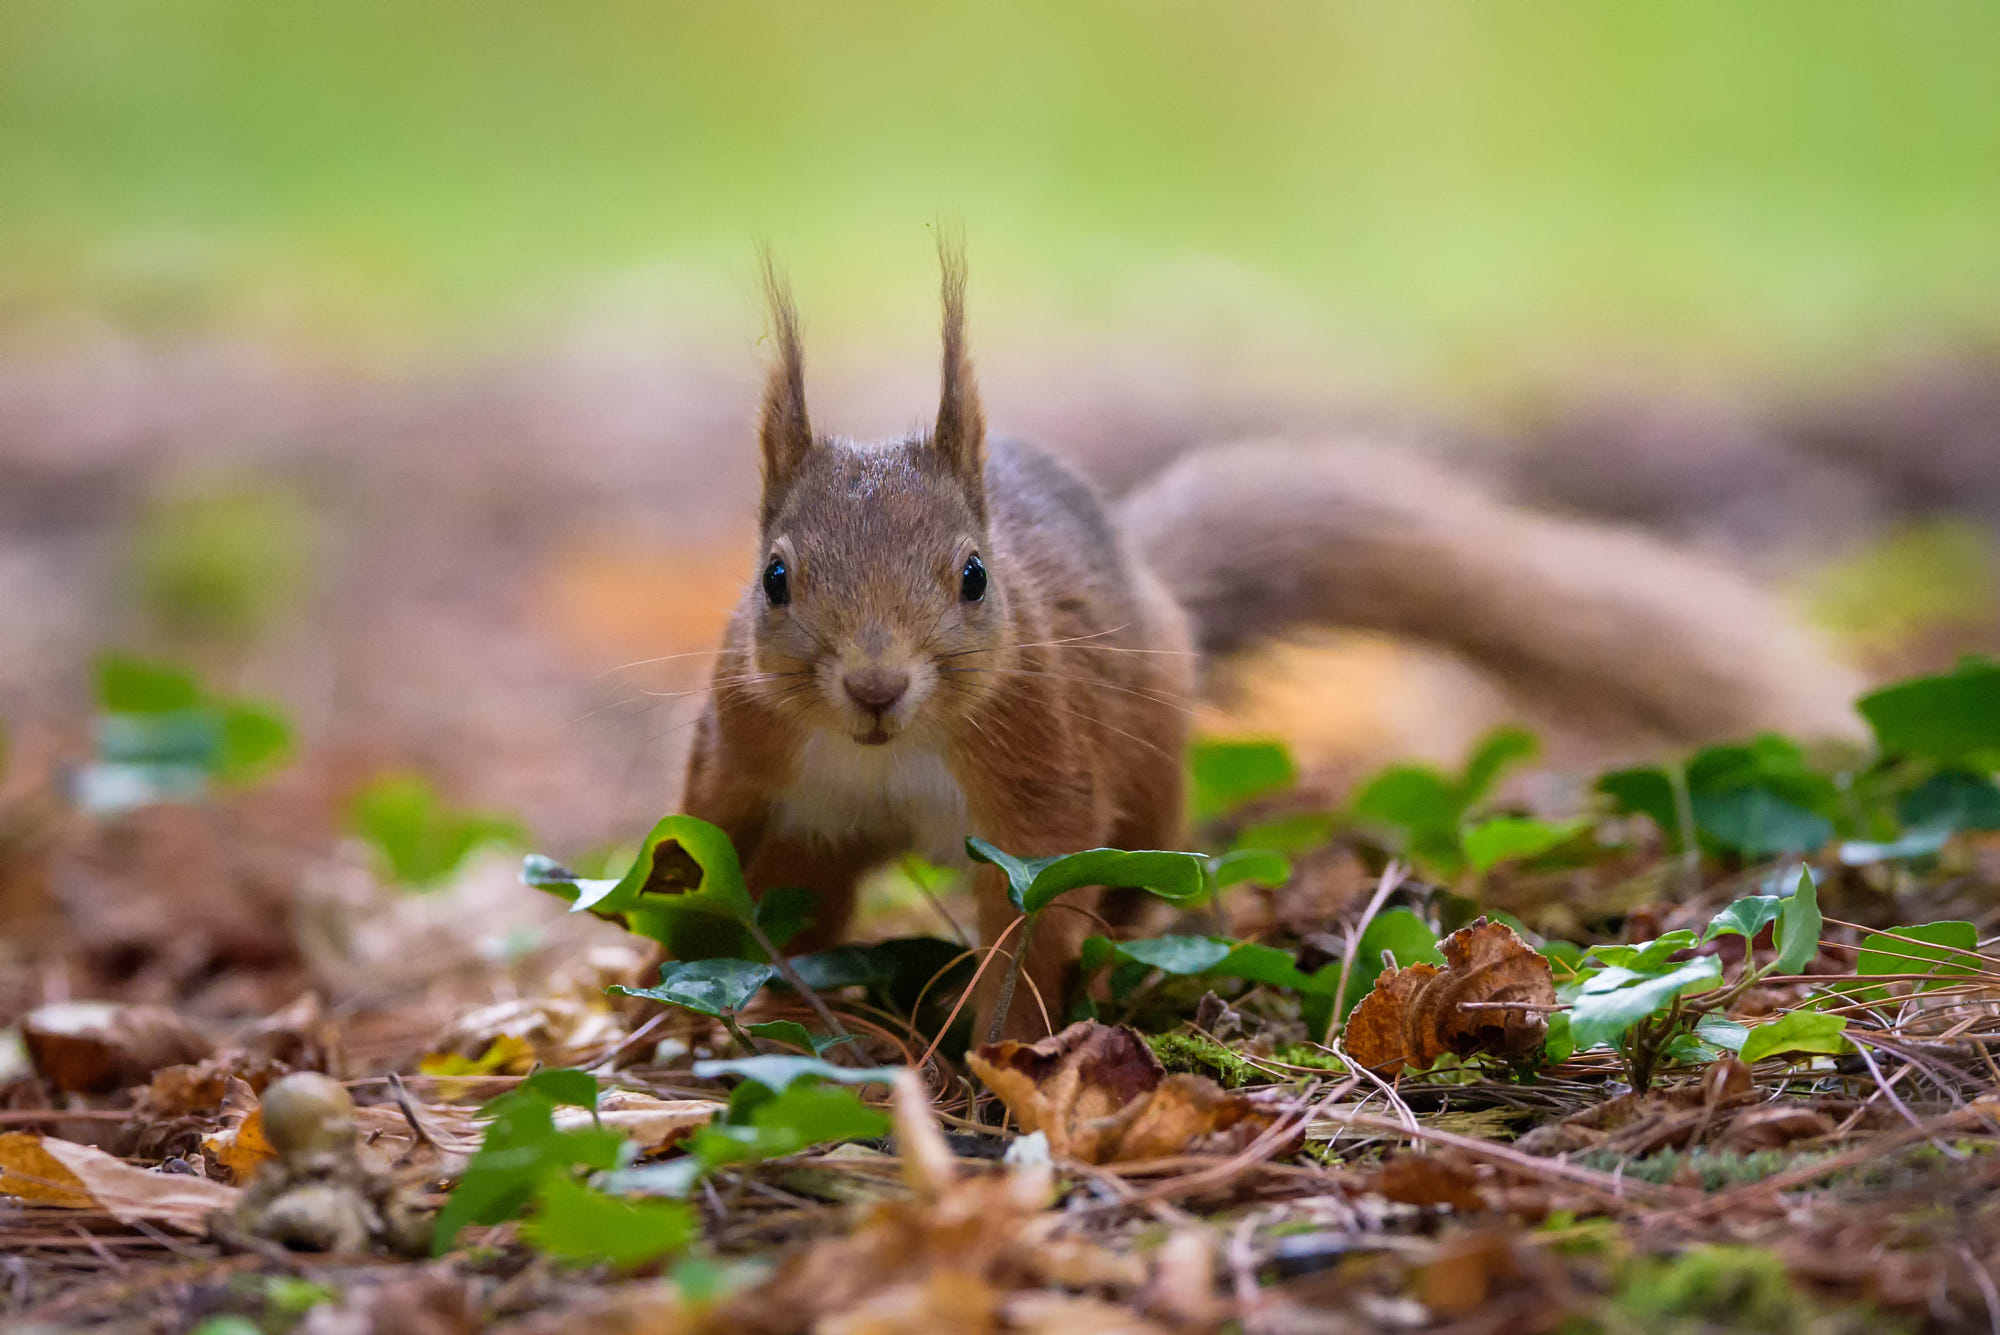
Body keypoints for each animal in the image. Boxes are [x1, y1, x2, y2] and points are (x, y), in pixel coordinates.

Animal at [679, 241, 1864, 1038]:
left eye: (974, 577)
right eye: (773, 580)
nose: (876, 686)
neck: (890, 756)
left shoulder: (1037, 790)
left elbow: (1037, 918)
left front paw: (999, 1056)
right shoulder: (743, 770)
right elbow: (707, 880)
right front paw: (688, 999)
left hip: (1149, 785)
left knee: (1126, 888)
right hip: (820, 844)